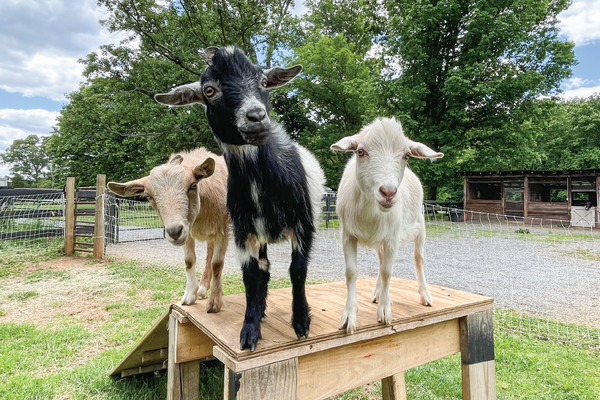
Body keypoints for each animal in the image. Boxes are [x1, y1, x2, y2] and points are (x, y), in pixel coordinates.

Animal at [108, 148, 230, 312]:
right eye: (149, 196)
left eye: (193, 185)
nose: (174, 232)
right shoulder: (188, 231)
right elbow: (189, 261)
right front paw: (189, 296)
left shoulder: (223, 228)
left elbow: (217, 263)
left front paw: (214, 303)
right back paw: (203, 288)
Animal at [155, 47, 324, 350]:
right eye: (209, 90)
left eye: (264, 81)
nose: (256, 116)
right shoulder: (243, 231)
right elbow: (251, 276)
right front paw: (250, 329)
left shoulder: (304, 225)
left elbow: (298, 270)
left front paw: (301, 322)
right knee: (265, 268)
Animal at [330, 117, 442, 332]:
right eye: (360, 152)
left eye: (407, 155)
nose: (388, 192)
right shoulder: (348, 234)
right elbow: (351, 273)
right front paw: (349, 317)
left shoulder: (392, 237)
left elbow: (387, 272)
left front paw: (384, 313)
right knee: (382, 261)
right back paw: (377, 293)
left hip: (420, 224)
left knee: (418, 257)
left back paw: (425, 295)